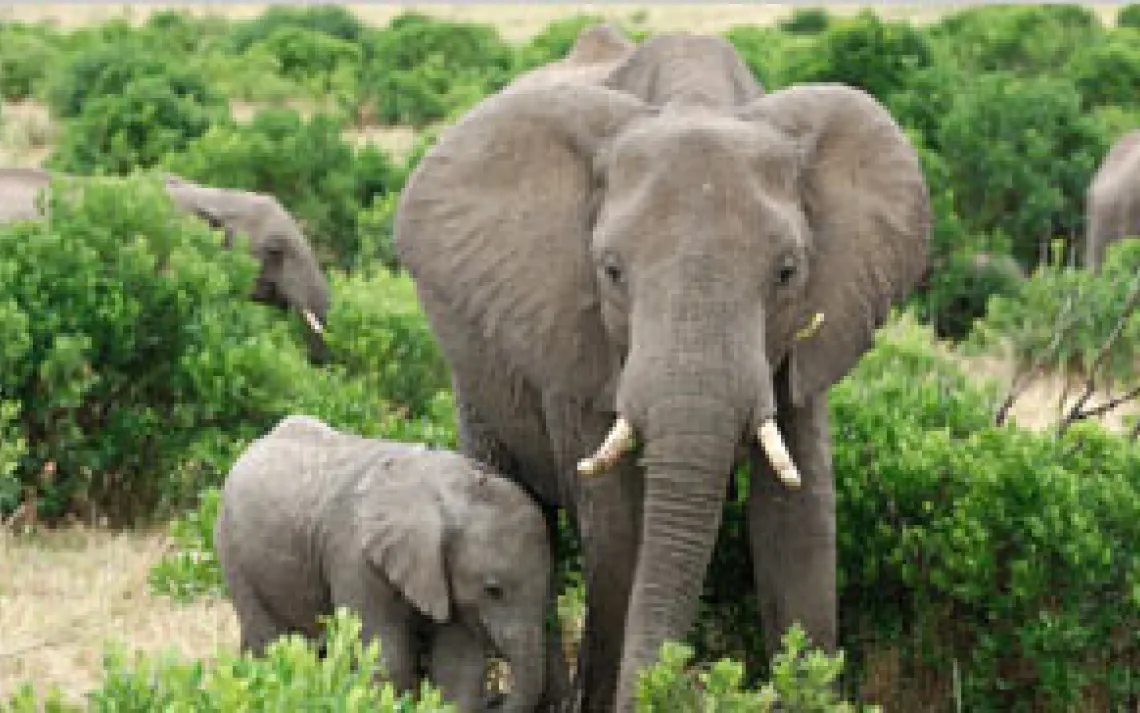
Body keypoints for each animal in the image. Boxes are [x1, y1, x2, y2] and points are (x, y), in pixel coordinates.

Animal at [215, 415, 552, 713]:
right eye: (493, 590)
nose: (497, 699)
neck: (447, 492)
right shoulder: (354, 555)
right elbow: (386, 653)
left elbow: (458, 662)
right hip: (231, 547)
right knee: (269, 639)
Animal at [394, 26, 930, 712]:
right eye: (611, 271)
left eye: (787, 272)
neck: (695, 101)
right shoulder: (575, 334)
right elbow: (619, 534)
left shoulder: (813, 332)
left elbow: (801, 524)